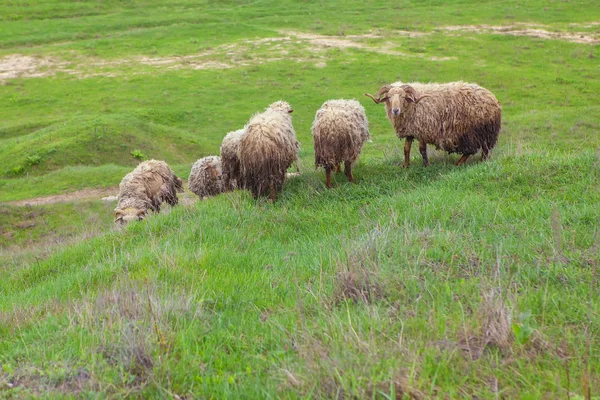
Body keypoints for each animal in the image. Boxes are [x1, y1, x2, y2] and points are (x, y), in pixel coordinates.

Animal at [366, 82, 502, 166]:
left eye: (404, 97)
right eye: (388, 97)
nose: (395, 110)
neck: (413, 104)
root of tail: (493, 98)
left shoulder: (422, 130)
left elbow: (422, 150)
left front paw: (426, 165)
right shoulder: (411, 130)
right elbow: (406, 149)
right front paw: (405, 165)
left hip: (474, 132)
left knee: (474, 150)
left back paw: (463, 163)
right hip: (482, 133)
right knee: (484, 149)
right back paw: (479, 162)